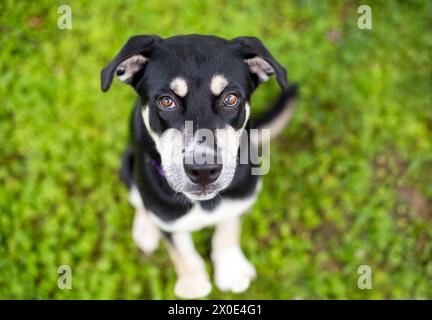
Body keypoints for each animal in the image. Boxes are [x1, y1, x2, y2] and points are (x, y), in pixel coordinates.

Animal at [101, 34, 296, 298]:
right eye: (166, 101)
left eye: (231, 98)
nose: (203, 171)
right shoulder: (168, 217)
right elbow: (182, 251)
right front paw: (193, 283)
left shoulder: (239, 197)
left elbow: (228, 230)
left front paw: (231, 270)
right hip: (127, 163)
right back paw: (145, 228)